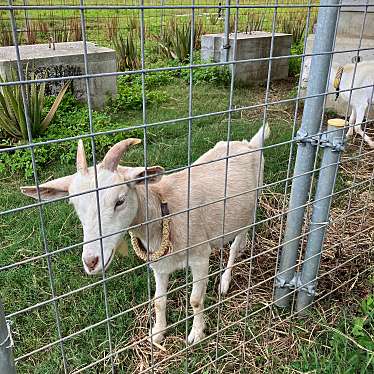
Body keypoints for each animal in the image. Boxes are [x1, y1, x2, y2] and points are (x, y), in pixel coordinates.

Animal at [20, 125, 268, 344]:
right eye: (74, 204)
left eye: (120, 200)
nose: (91, 261)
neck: (163, 209)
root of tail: (250, 144)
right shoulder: (159, 265)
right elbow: (158, 300)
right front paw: (157, 333)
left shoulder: (199, 255)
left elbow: (196, 300)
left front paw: (196, 334)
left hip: (250, 206)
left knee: (235, 244)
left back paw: (226, 278)